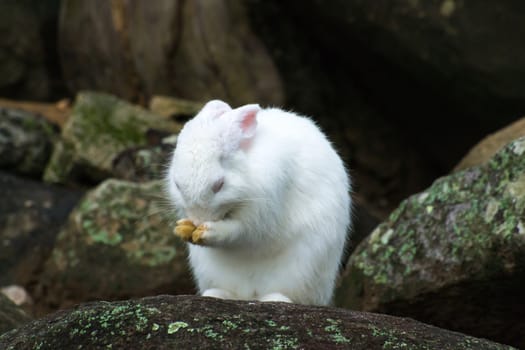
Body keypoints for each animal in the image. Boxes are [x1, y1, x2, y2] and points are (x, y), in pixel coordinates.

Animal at [166, 100, 350, 304]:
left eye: (219, 185)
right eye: (177, 185)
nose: (197, 221)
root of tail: (251, 294)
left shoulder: (261, 214)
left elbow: (239, 231)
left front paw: (208, 232)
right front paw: (182, 228)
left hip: (303, 270)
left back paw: (275, 299)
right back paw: (216, 294)